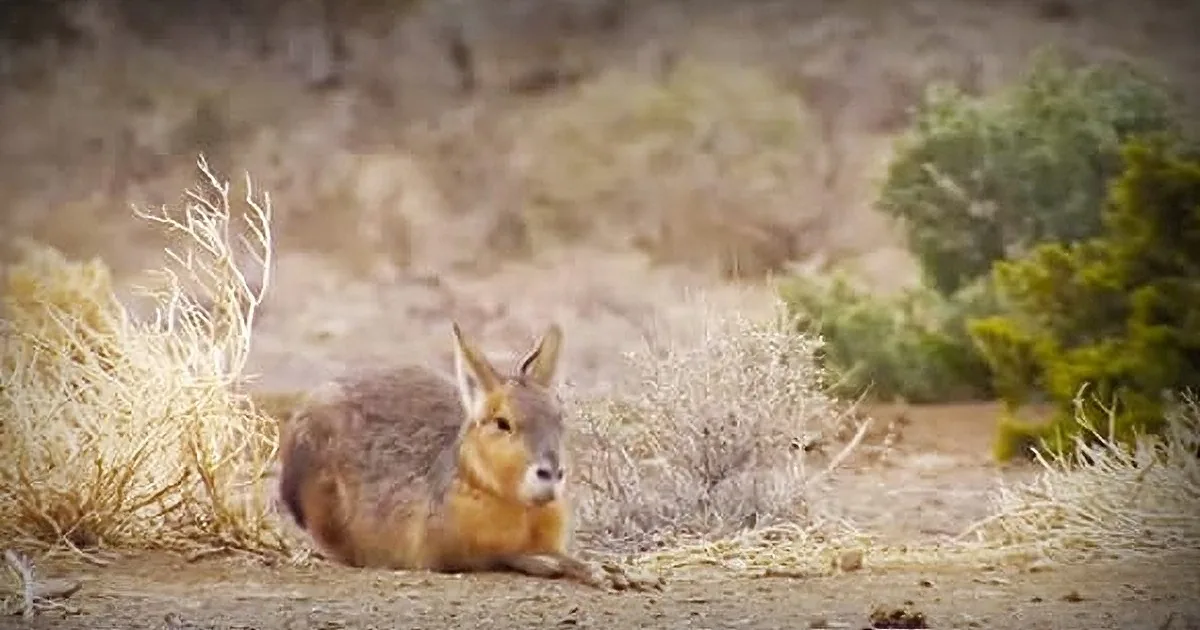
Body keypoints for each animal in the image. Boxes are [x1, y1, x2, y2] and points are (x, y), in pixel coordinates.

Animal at [276, 321, 661, 591]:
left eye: (559, 417)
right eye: (502, 423)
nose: (551, 473)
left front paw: (621, 572)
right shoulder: (449, 552)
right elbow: (511, 555)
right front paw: (575, 567)